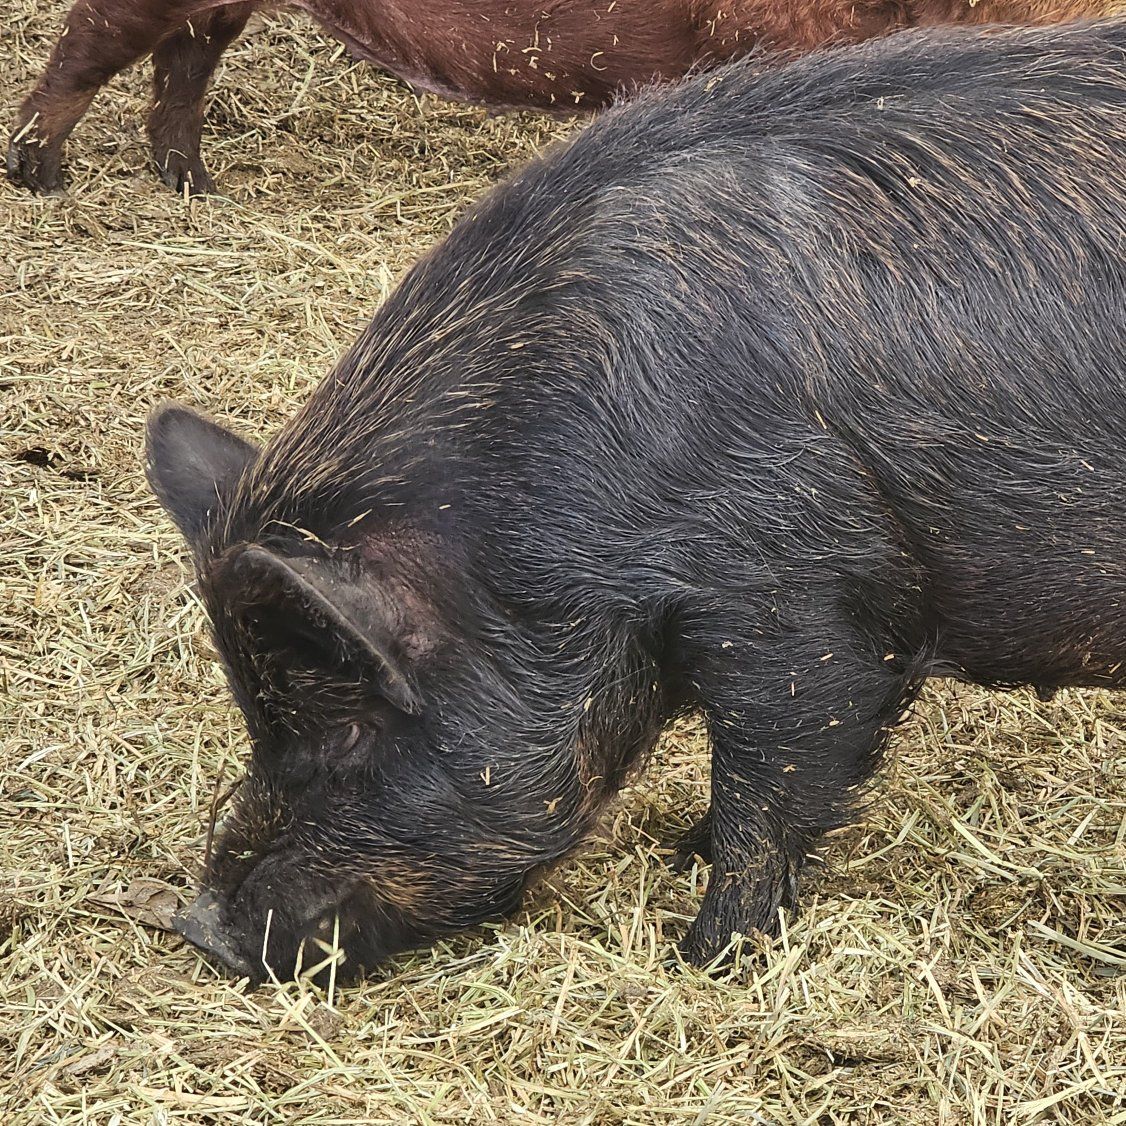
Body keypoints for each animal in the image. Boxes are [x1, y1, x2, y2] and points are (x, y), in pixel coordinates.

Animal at [148, 17, 1126, 982]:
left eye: (346, 726)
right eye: (256, 715)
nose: (197, 927)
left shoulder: (797, 596)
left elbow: (773, 785)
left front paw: (704, 958)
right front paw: (681, 851)